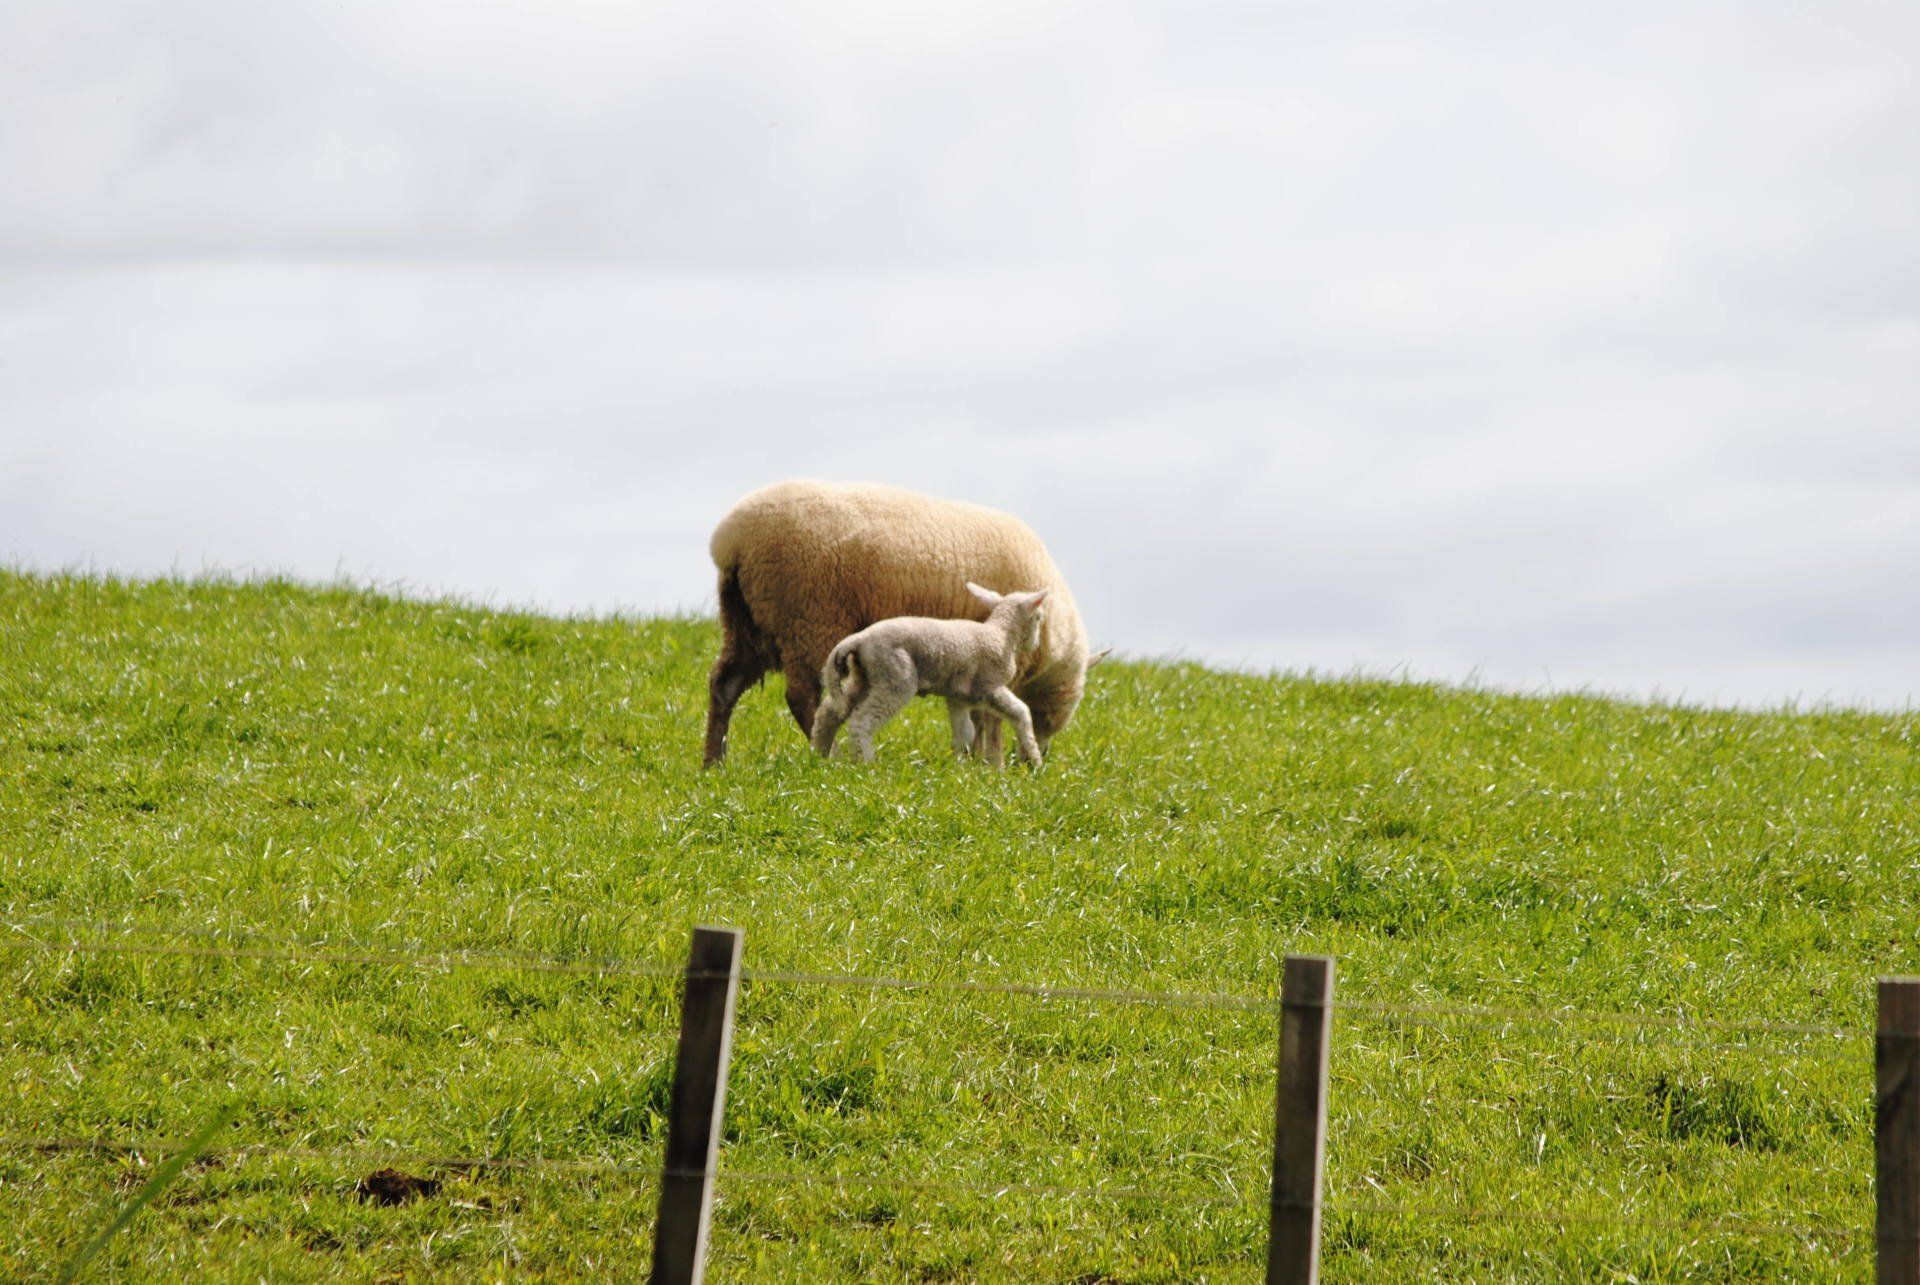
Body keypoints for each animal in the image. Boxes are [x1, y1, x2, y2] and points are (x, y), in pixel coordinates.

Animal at [811, 584, 1051, 765]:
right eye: (1039, 618)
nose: (1035, 644)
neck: (1001, 636)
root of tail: (859, 639)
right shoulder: (990, 686)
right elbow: (1021, 712)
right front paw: (1035, 760)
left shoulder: (959, 698)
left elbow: (964, 733)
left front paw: (959, 768)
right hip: (896, 677)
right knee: (862, 721)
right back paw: (867, 763)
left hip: (865, 677)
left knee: (828, 714)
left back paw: (820, 755)